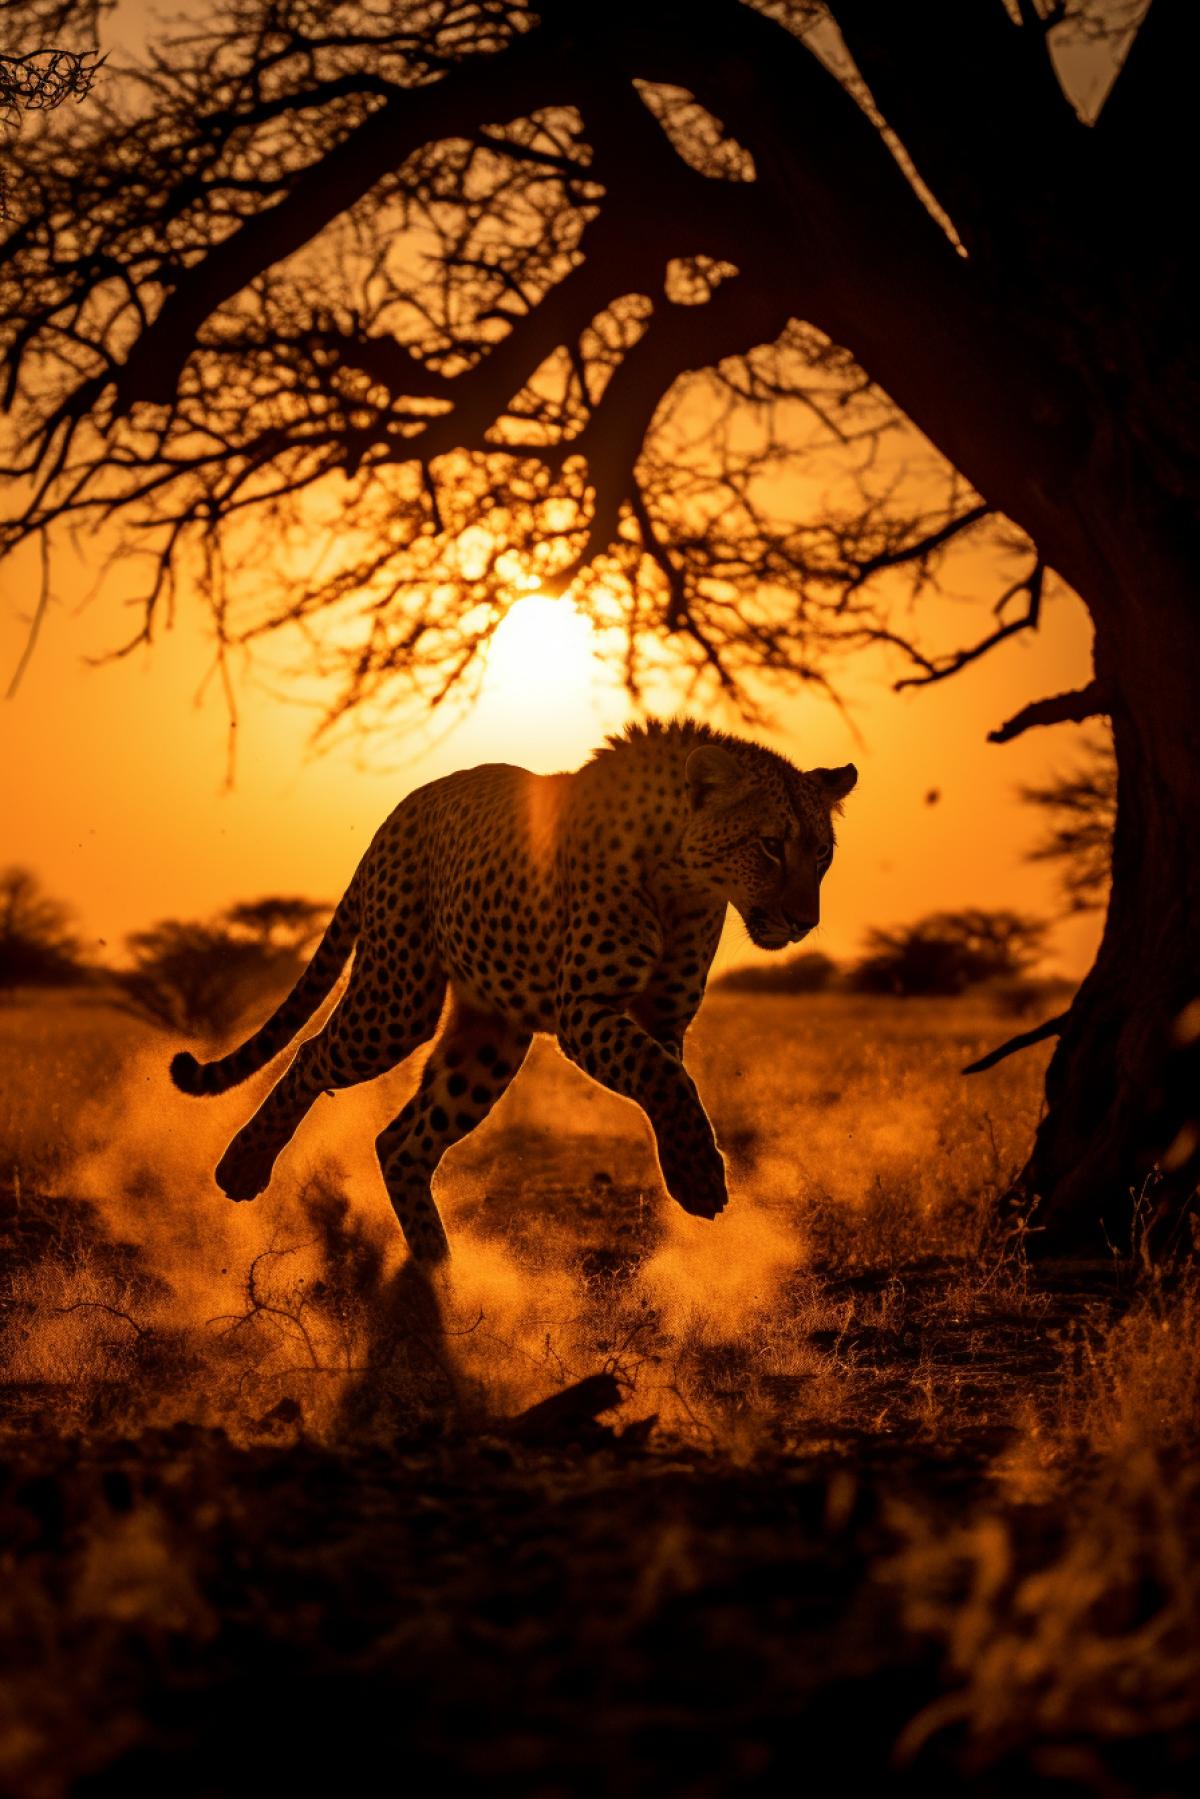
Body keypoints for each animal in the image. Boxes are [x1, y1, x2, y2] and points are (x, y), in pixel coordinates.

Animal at [170, 719, 857, 1264]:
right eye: (770, 845)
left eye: (823, 853)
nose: (805, 921)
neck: (681, 876)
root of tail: (408, 802)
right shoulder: (584, 1009)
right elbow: (664, 1078)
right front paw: (698, 1178)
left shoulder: (664, 1019)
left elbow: (672, 1079)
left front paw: (687, 1170)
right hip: (399, 1002)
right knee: (314, 1053)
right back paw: (243, 1166)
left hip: (491, 1035)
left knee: (402, 1142)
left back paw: (439, 1274)